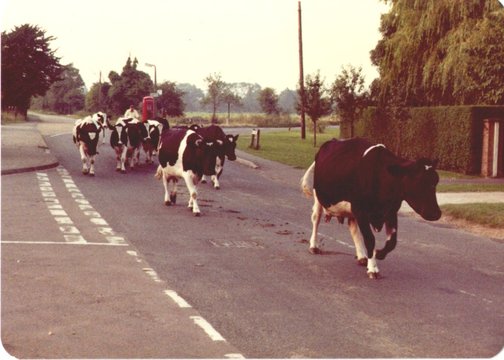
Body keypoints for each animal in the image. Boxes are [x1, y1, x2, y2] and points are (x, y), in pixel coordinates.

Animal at [300, 138, 440, 278]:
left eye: (436, 181)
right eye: (418, 182)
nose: (436, 213)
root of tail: (331, 142)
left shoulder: (390, 212)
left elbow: (392, 242)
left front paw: (378, 254)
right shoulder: (361, 211)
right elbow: (370, 239)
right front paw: (373, 268)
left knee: (352, 226)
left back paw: (362, 256)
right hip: (319, 196)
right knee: (316, 218)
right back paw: (314, 246)